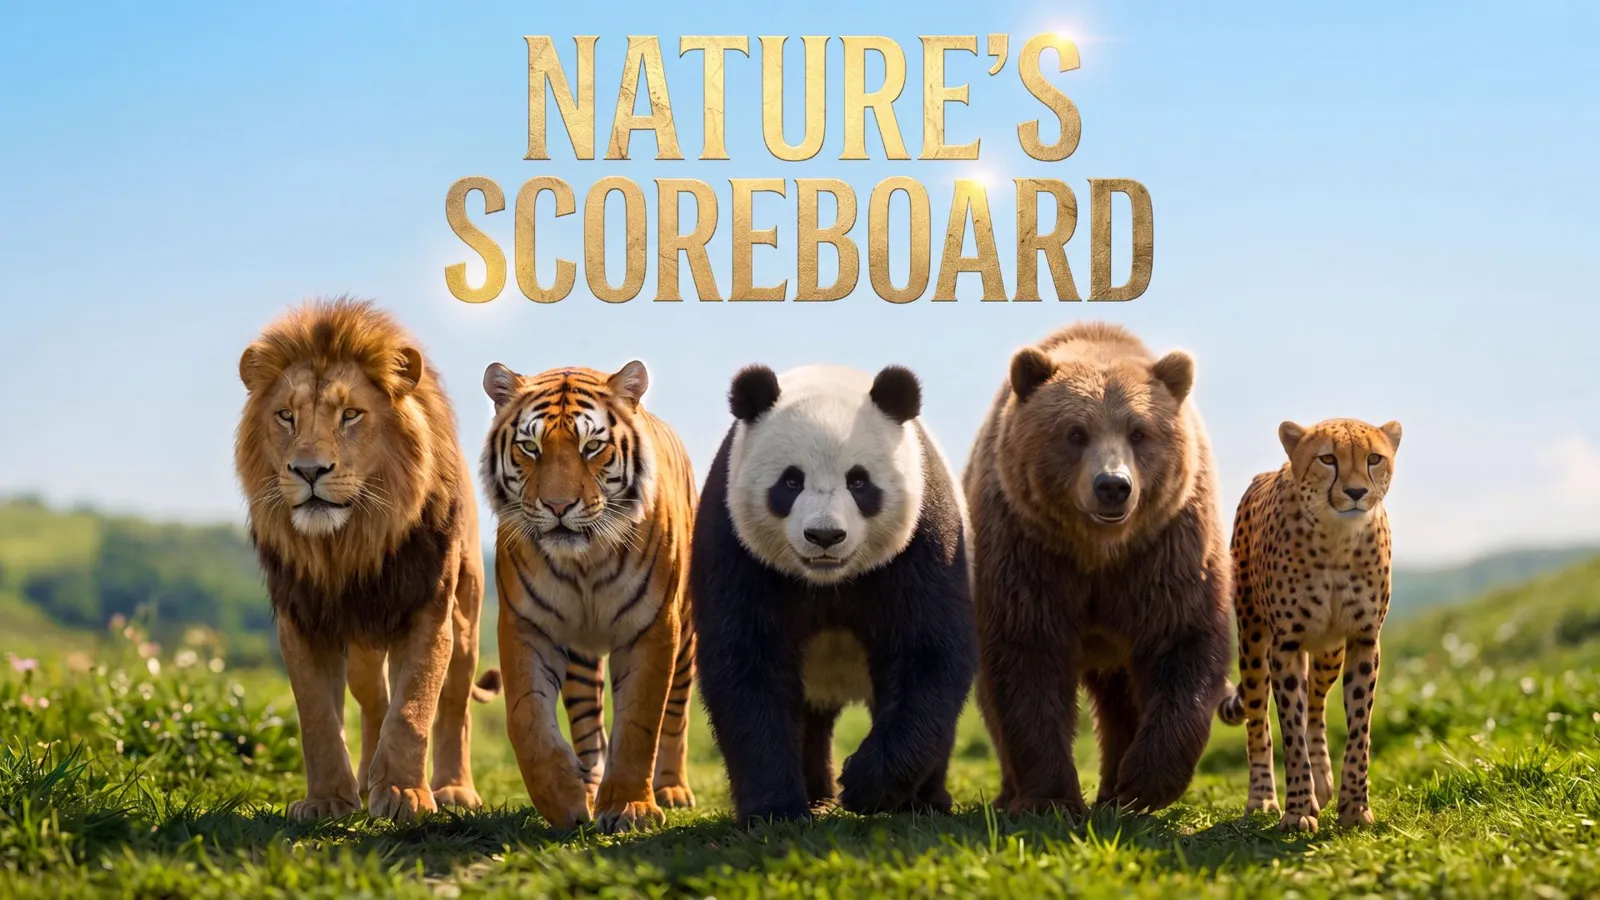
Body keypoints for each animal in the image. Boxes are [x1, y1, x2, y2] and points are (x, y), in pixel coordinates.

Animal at [235, 296, 500, 823]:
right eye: (285, 416)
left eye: (351, 415)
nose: (308, 470)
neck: (348, 545)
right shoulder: (301, 619)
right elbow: (318, 718)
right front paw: (328, 800)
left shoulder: (428, 611)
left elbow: (414, 706)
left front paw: (404, 794)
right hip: (362, 647)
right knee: (374, 699)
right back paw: (364, 780)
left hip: (466, 625)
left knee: (454, 705)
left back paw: (453, 789)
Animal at [480, 359, 697, 833]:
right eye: (531, 447)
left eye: (592, 446)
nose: (559, 506)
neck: (586, 564)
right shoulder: (525, 625)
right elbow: (526, 718)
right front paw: (564, 800)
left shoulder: (654, 629)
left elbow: (639, 723)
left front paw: (631, 808)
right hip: (580, 657)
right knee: (588, 729)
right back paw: (591, 786)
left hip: (688, 636)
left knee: (676, 715)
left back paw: (672, 790)